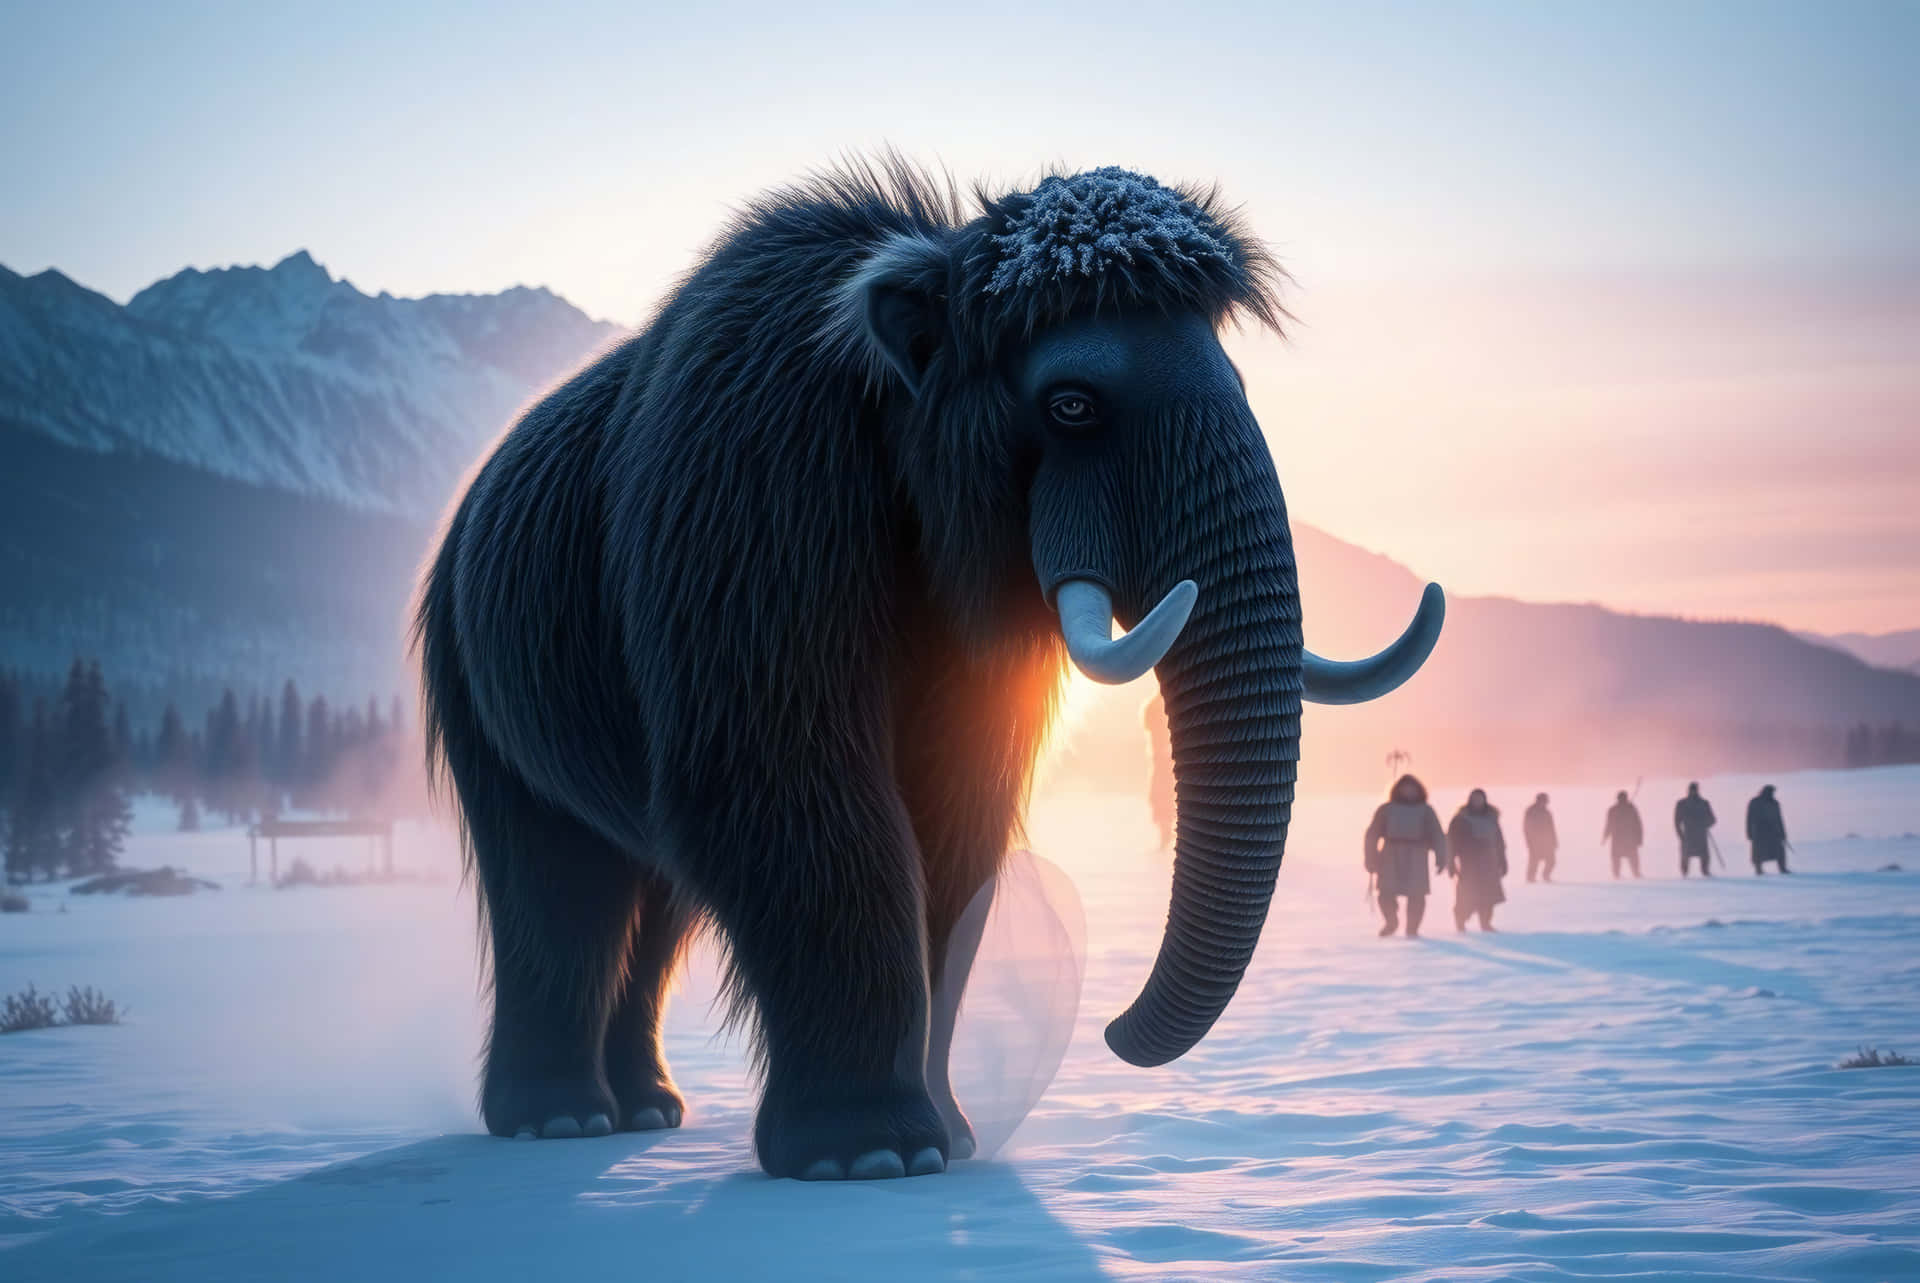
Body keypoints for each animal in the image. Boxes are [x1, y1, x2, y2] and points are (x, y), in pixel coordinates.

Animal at [413, 159, 1444, 1181]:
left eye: (1235, 377)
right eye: (1073, 403)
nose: (1112, 1031)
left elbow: (954, 820)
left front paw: (951, 1136)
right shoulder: (752, 510)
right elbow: (786, 783)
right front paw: (868, 1153)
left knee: (654, 894)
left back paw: (648, 1109)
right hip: (472, 686)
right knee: (560, 883)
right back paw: (560, 1120)